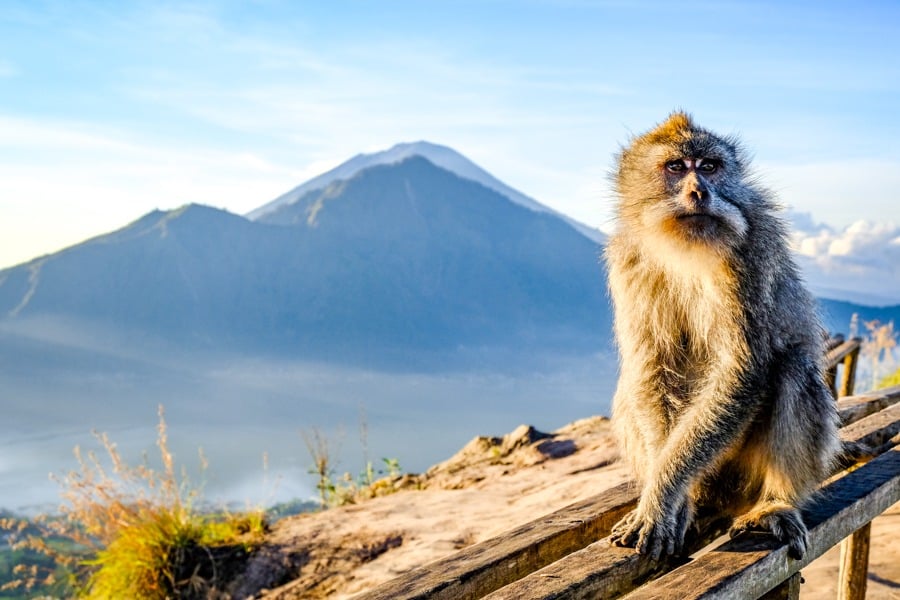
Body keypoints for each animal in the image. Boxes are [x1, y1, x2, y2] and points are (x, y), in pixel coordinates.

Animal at [604, 110, 844, 560]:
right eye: (676, 167)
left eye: (710, 166)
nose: (699, 192)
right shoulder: (627, 260)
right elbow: (651, 369)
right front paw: (673, 499)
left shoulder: (751, 251)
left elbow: (742, 370)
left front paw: (663, 496)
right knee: (631, 388)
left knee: (793, 366)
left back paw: (776, 502)